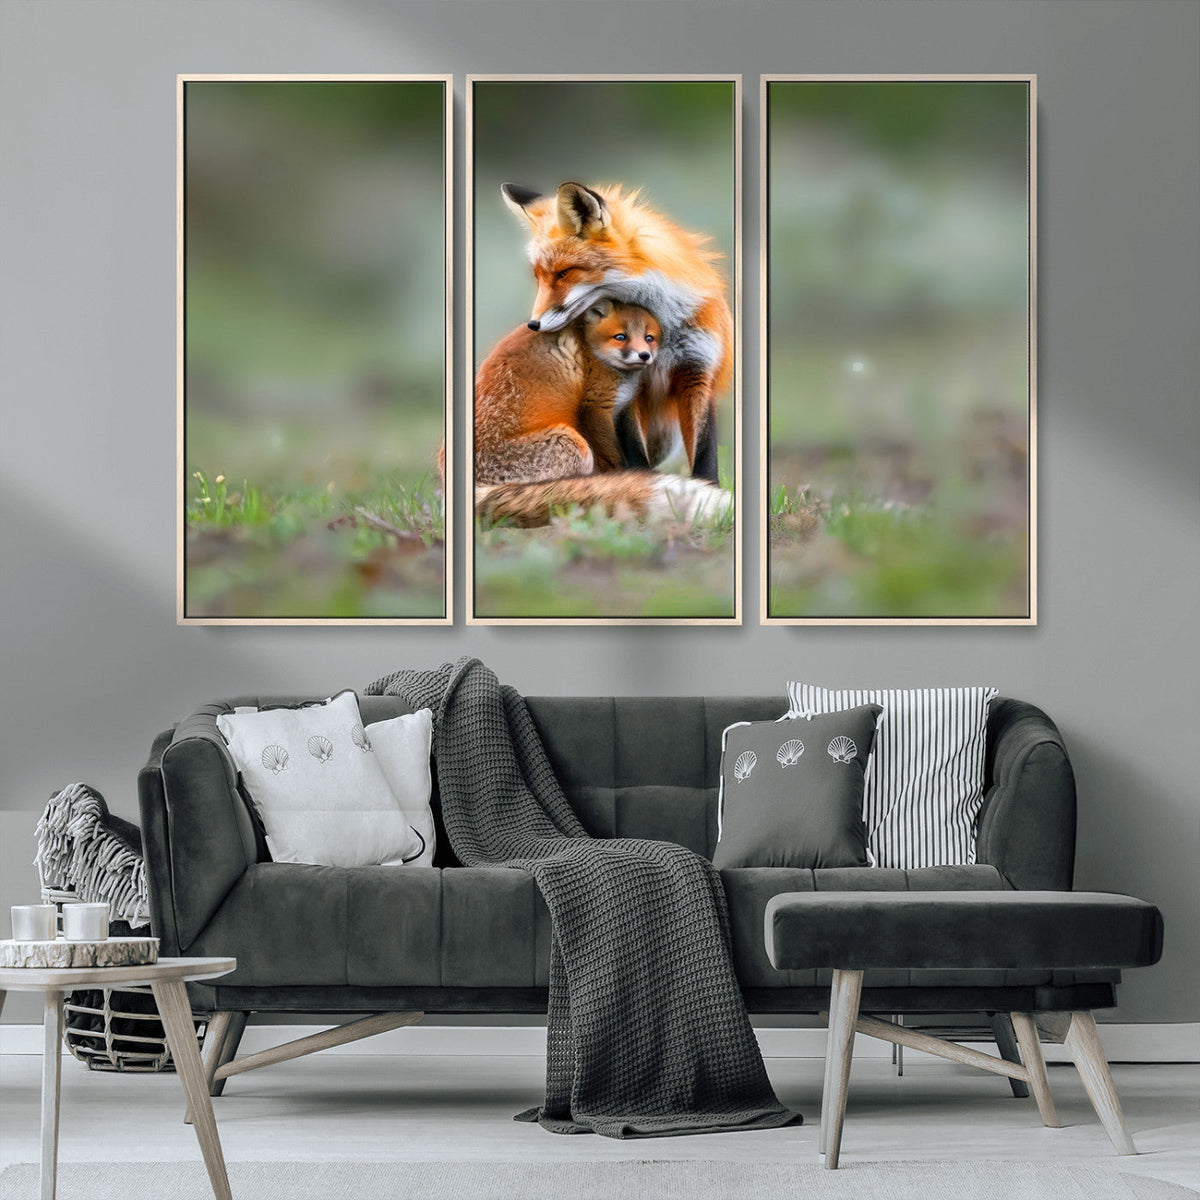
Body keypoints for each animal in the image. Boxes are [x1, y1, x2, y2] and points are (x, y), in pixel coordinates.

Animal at [474, 180, 733, 526]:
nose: (534, 324)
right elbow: (633, 459)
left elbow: (705, 453)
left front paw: (711, 494)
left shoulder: (697, 371)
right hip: (574, 443)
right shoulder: (627, 392)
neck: (664, 328)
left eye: (564, 273)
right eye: (538, 277)